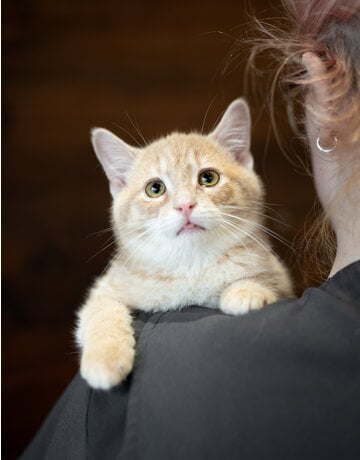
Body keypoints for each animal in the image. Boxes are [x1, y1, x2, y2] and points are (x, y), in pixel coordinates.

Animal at [75, 98, 292, 388]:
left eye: (208, 178)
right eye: (155, 188)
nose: (185, 205)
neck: (190, 267)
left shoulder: (280, 275)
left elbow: (270, 281)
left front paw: (247, 290)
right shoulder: (106, 287)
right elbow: (101, 311)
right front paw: (105, 359)